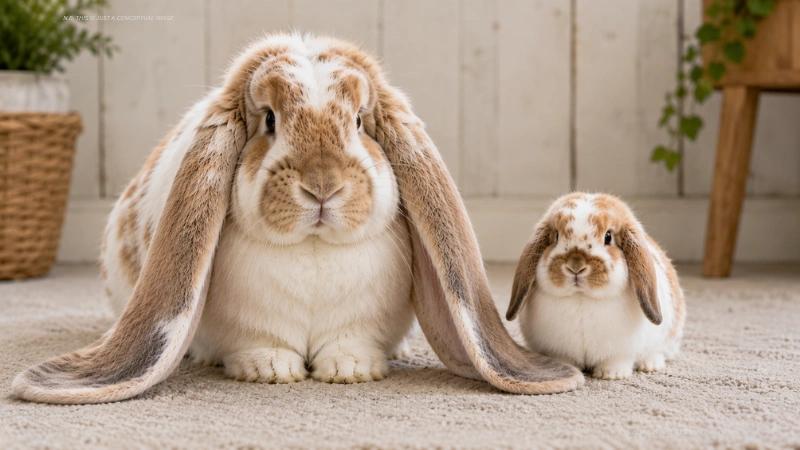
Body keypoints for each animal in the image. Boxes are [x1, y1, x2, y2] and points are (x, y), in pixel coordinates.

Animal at [12, 33, 583, 404]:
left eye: (360, 122)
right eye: (269, 120)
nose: (323, 187)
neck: (313, 250)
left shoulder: (364, 320)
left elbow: (350, 342)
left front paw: (350, 370)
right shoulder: (247, 325)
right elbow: (259, 344)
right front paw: (270, 370)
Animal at [506, 192, 686, 380]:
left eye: (608, 237)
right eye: (556, 236)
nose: (575, 266)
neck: (581, 297)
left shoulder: (620, 353)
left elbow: (617, 361)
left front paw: (611, 374)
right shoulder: (558, 351)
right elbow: (564, 360)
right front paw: (566, 369)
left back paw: (649, 365)